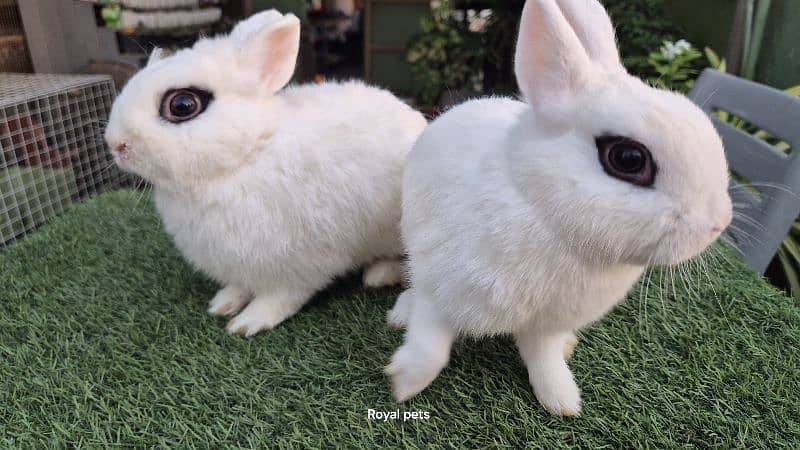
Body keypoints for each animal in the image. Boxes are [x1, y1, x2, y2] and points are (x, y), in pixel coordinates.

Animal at [108, 10, 432, 336]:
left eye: (183, 105)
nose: (115, 143)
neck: (248, 153)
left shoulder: (300, 264)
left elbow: (280, 297)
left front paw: (247, 323)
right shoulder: (239, 265)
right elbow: (239, 286)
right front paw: (222, 304)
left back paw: (379, 275)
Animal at [386, 0, 732, 416]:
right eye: (628, 158)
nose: (719, 222)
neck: (542, 211)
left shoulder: (545, 325)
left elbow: (545, 360)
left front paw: (562, 401)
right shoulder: (439, 292)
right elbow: (430, 347)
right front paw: (403, 386)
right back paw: (399, 314)